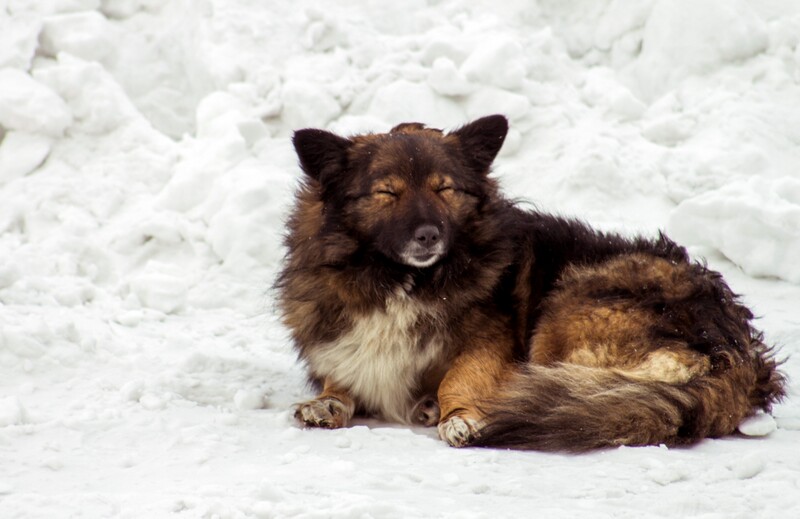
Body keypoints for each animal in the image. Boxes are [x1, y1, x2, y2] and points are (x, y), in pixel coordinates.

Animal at [276, 114, 788, 450]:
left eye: (445, 189)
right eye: (386, 192)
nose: (428, 235)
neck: (403, 281)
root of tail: (736, 351)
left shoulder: (490, 343)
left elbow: (460, 377)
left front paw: (459, 417)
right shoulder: (343, 346)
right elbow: (341, 380)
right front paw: (328, 403)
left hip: (567, 304)